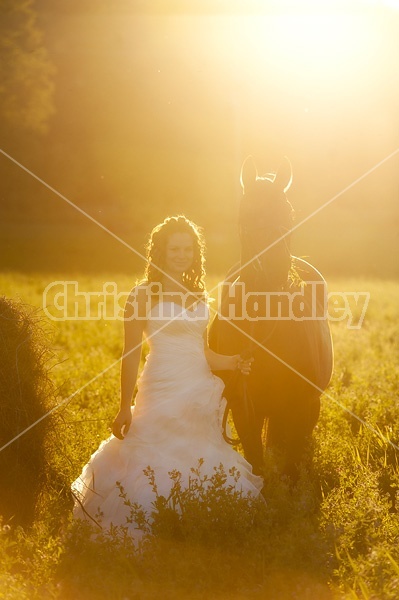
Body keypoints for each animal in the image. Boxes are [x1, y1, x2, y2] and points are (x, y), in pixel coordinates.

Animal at [209, 158, 334, 478]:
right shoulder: (242, 405)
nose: (275, 269)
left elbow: (289, 468)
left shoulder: (300, 407)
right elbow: (256, 460)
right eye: (245, 213)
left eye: (288, 212)